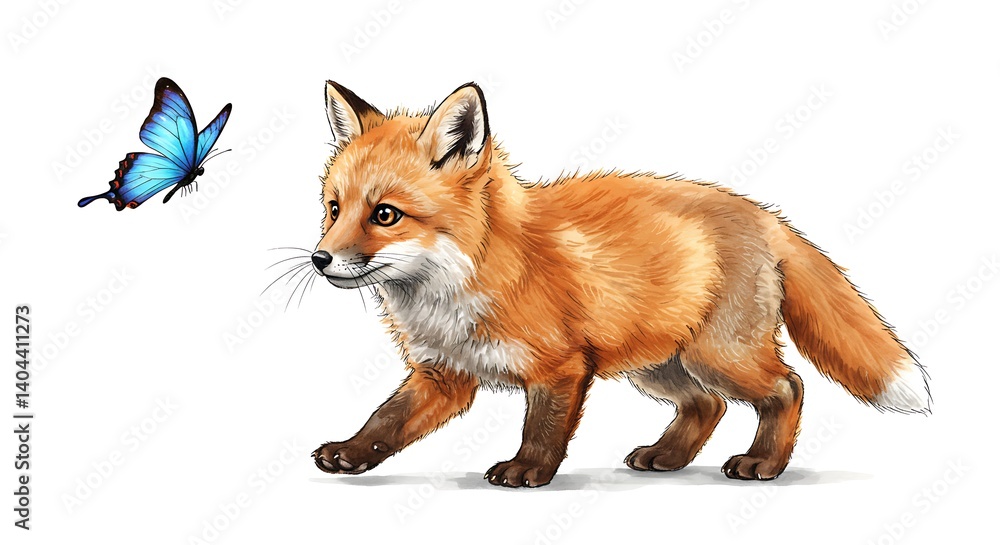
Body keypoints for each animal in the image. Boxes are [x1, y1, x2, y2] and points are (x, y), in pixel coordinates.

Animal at [308, 81, 930, 488]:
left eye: (385, 215)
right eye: (334, 209)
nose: (319, 258)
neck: (461, 282)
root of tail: (763, 215)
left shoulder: (562, 367)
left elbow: (544, 425)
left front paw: (529, 469)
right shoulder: (444, 373)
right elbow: (386, 420)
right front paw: (351, 454)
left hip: (716, 355)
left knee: (788, 387)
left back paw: (764, 465)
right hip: (656, 365)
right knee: (707, 405)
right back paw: (667, 457)